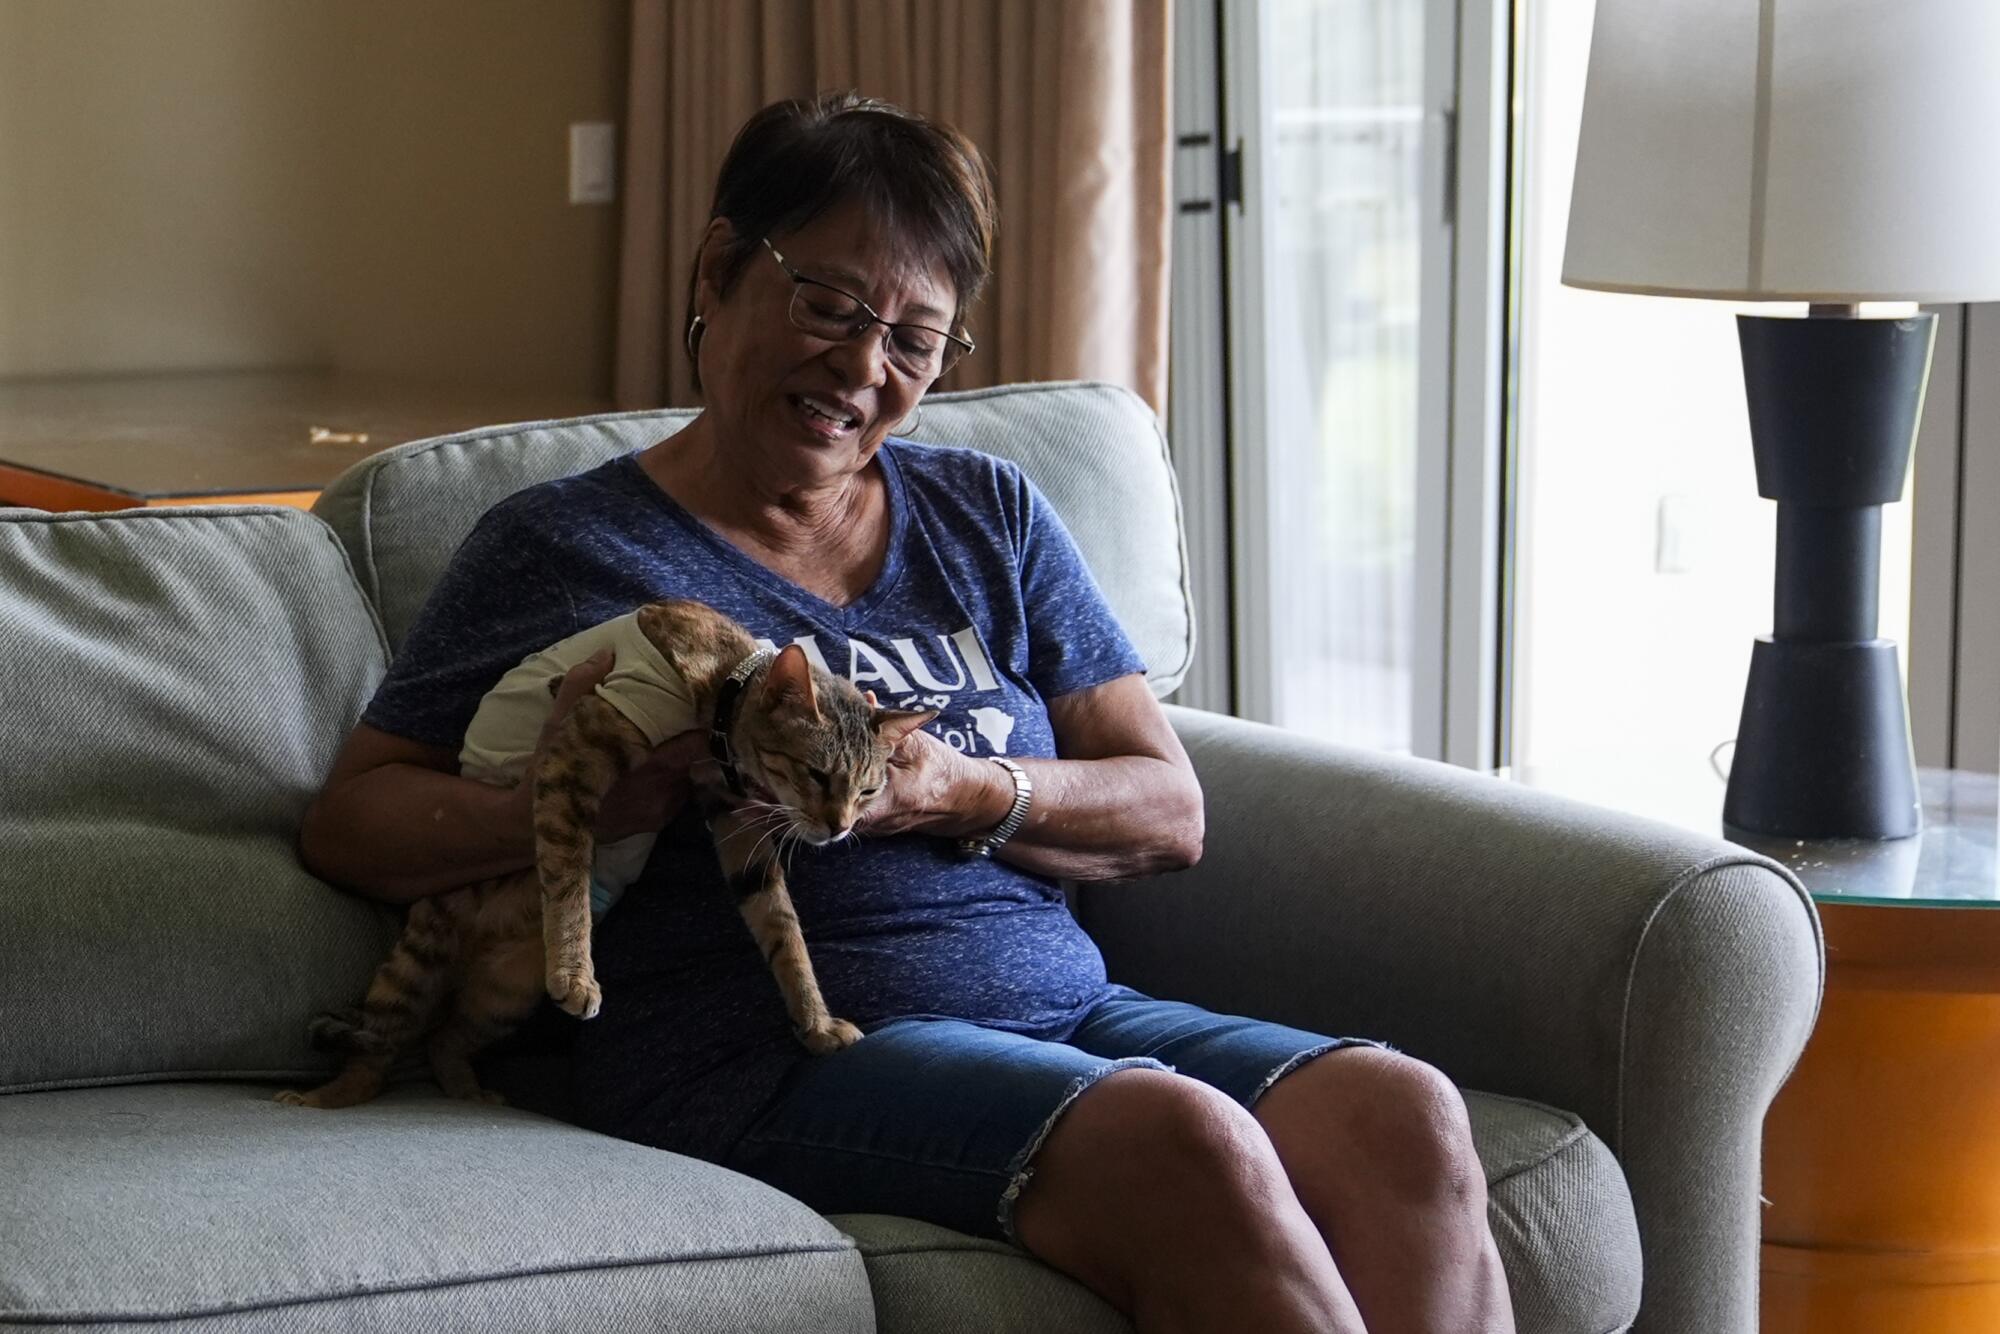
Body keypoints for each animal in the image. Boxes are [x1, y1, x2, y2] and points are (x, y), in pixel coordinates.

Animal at [276, 600, 936, 1112]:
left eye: (868, 790)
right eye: (816, 774)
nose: (839, 828)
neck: (722, 683)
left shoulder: (734, 822)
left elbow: (784, 934)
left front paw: (816, 1024)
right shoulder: (575, 756)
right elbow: (568, 875)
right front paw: (576, 973)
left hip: (505, 995)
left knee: (444, 1037)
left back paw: (467, 1091)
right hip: (415, 963)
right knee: (380, 1044)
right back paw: (323, 1097)